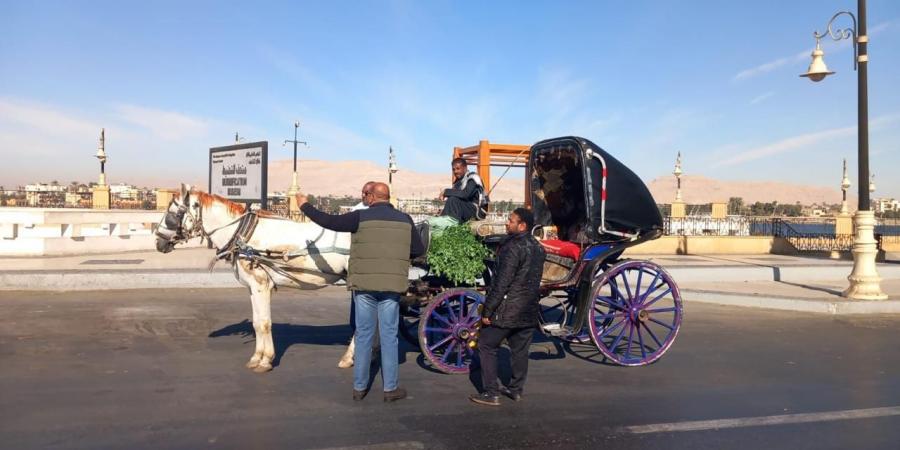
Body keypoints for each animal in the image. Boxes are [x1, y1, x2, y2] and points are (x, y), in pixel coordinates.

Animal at [156, 186, 356, 372]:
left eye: (173, 214)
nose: (158, 241)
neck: (243, 234)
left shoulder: (262, 285)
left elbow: (265, 323)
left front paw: (266, 360)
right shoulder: (252, 287)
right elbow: (256, 322)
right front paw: (256, 357)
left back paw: (348, 358)